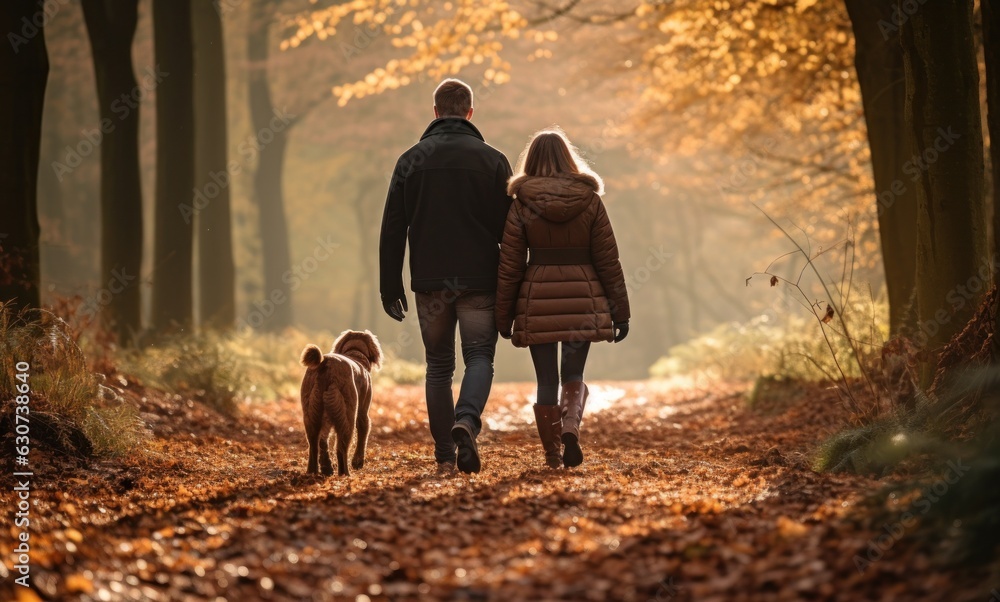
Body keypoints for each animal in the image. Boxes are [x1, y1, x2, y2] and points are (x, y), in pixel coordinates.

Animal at [296, 328, 382, 474]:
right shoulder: (363, 414)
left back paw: (317, 470)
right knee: (341, 449)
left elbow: (323, 440)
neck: (355, 354)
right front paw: (358, 462)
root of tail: (325, 362)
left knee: (315, 446)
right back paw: (345, 474)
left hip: (312, 414)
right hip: (348, 415)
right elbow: (362, 437)